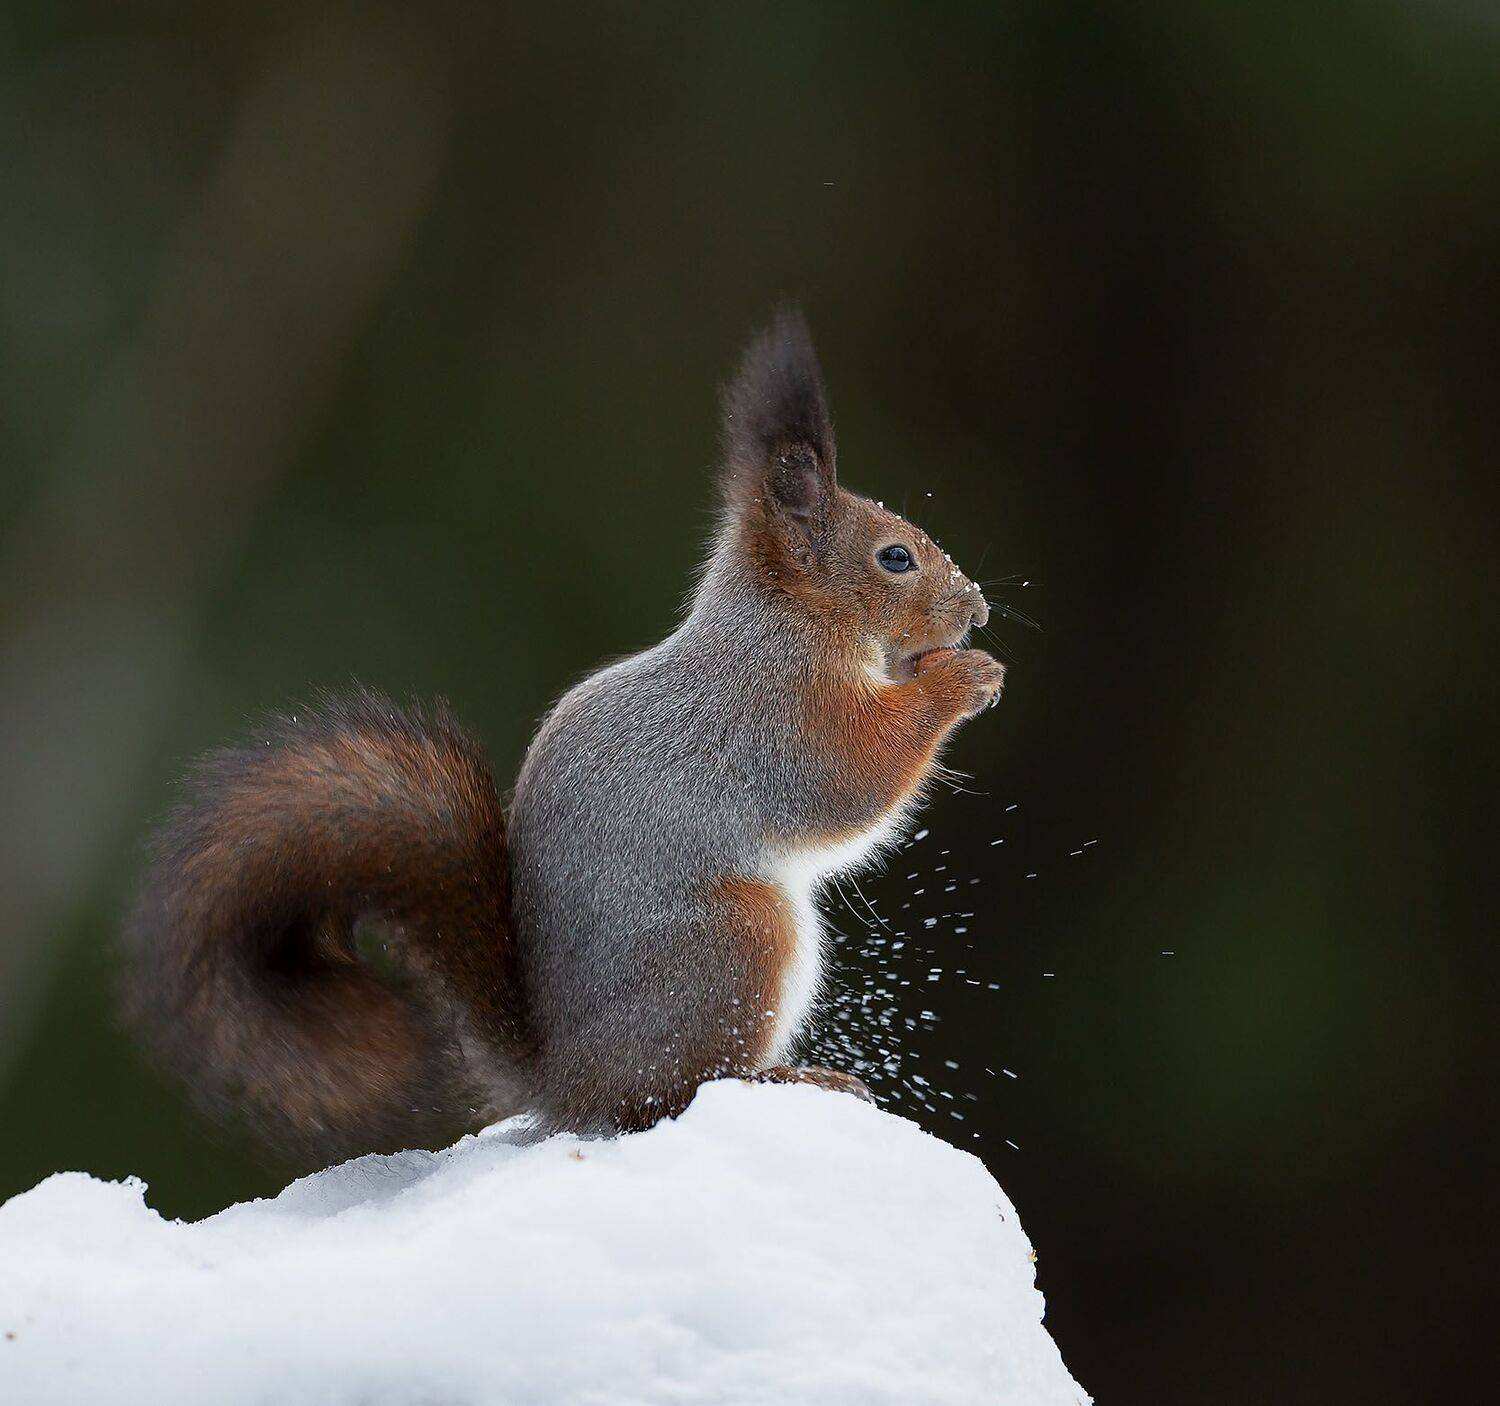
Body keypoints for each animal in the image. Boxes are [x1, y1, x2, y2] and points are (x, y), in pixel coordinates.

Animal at [123, 309, 1004, 1162]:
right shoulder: (782, 716)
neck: (784, 623)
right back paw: (785, 1078)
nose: (980, 609)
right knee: (669, 1093)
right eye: (896, 557)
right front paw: (966, 679)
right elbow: (856, 777)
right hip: (738, 943)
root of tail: (563, 1081)